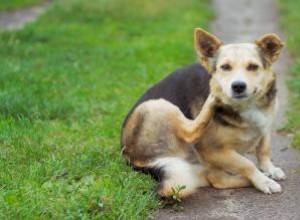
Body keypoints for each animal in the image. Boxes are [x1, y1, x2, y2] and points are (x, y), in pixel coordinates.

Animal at [120, 27, 286, 198]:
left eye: (253, 66)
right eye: (225, 67)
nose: (238, 86)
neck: (247, 105)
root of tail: (131, 157)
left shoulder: (265, 126)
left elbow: (264, 149)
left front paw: (269, 169)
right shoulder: (212, 149)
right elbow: (246, 164)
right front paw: (263, 181)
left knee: (216, 179)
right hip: (157, 104)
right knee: (191, 133)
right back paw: (213, 99)